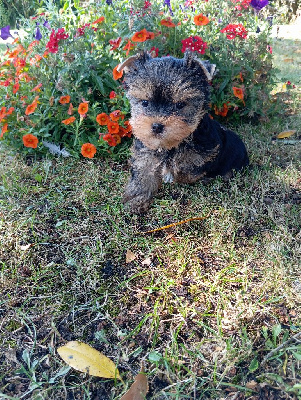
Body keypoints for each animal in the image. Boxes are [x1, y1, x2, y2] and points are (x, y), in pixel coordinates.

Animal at [117, 52, 248, 214]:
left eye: (180, 105)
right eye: (145, 103)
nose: (157, 126)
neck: (172, 144)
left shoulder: (205, 153)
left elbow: (189, 170)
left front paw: (172, 175)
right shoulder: (147, 151)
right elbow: (144, 171)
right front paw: (137, 198)